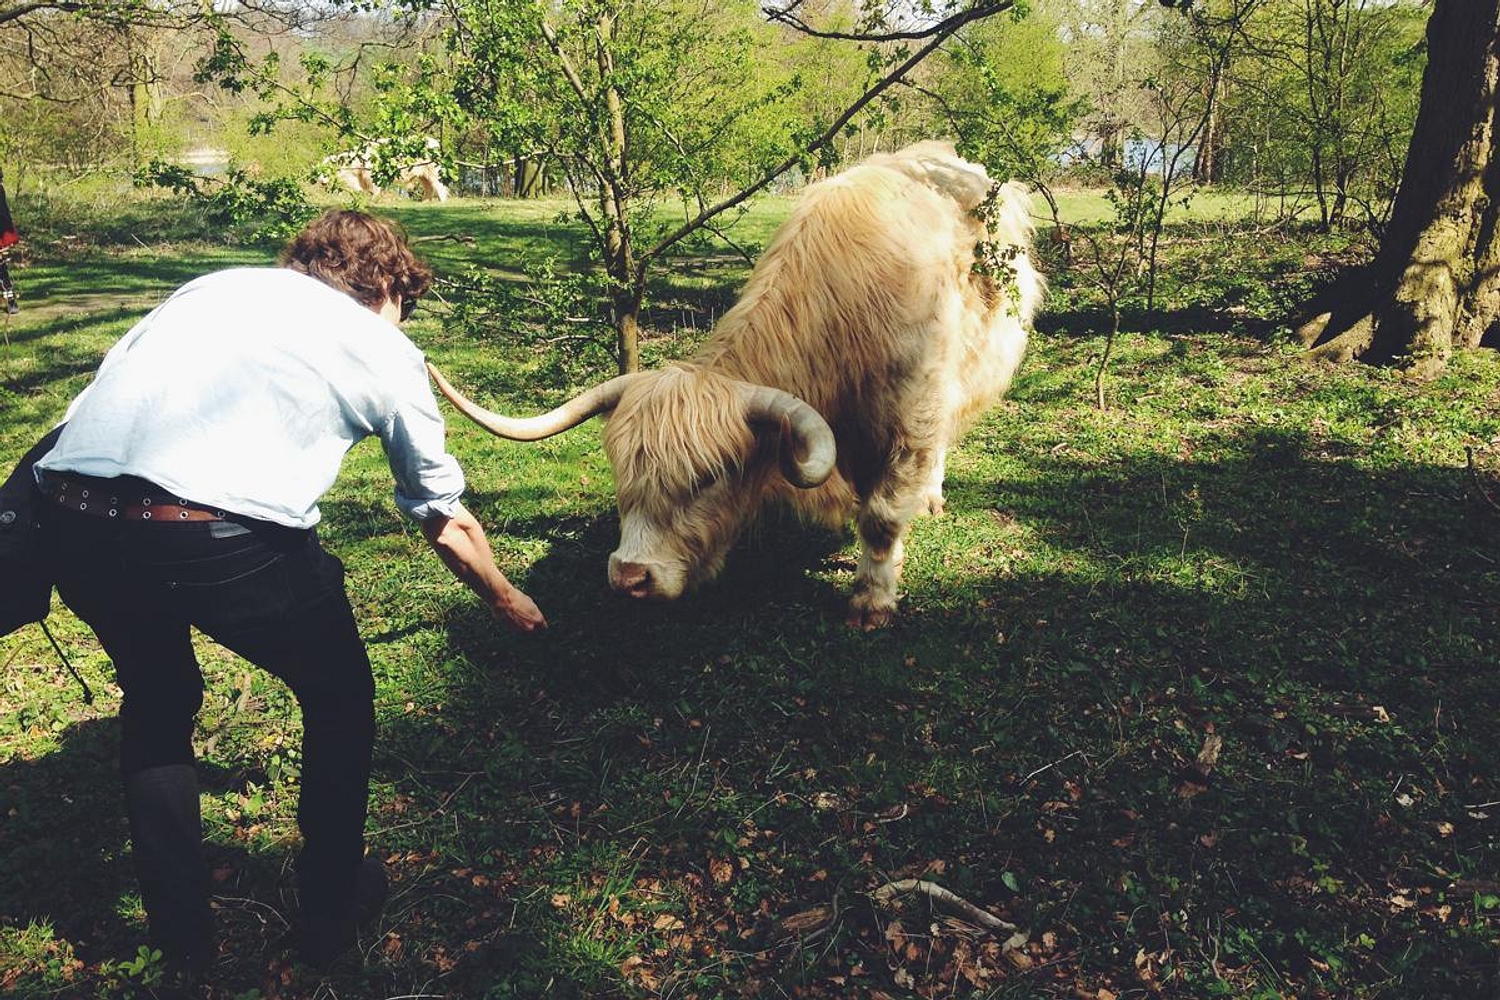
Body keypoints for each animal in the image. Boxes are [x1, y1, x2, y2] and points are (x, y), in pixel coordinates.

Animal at [428, 141, 1043, 628]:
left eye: (707, 477)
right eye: (623, 473)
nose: (631, 577)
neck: (845, 315)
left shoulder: (910, 420)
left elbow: (883, 516)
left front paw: (872, 600)